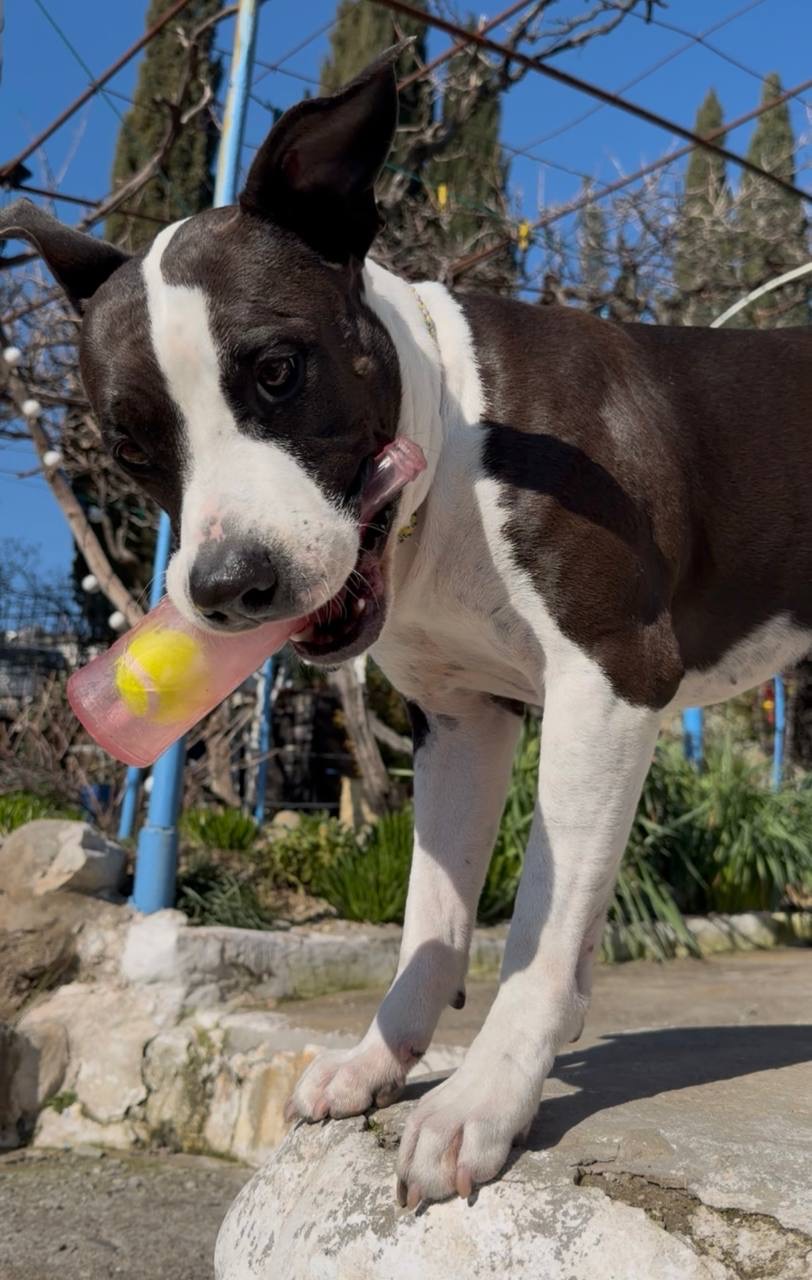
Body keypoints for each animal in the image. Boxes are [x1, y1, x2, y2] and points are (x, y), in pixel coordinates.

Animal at [3, 46, 810, 1207]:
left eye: (277, 370)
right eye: (128, 446)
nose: (227, 586)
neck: (458, 448)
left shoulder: (608, 684)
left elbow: (537, 928)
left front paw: (484, 1099)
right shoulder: (463, 723)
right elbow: (432, 919)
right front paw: (380, 1060)